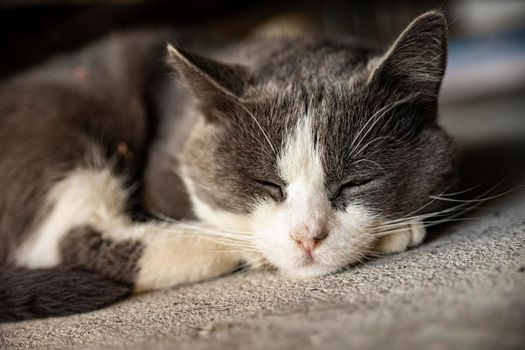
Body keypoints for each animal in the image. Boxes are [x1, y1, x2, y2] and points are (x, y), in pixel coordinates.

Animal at [0, 10, 454, 322]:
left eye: (356, 182)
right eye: (267, 183)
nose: (308, 237)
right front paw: (396, 231)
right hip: (65, 121)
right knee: (74, 238)